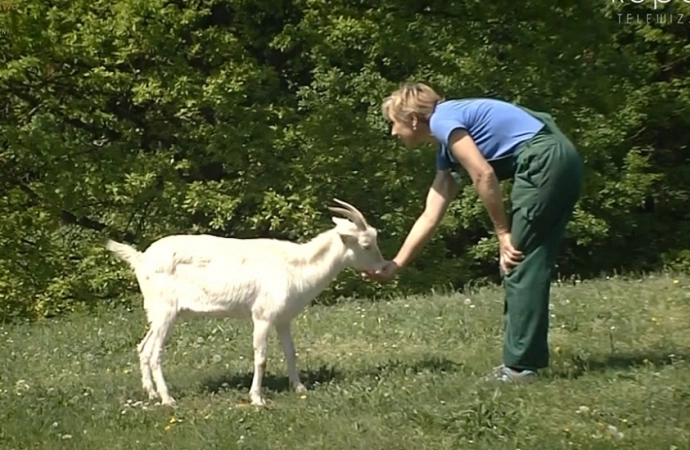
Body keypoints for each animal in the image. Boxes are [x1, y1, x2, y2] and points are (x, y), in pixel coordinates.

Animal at [105, 199, 384, 406]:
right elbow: (261, 357)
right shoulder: (262, 315)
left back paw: (151, 393)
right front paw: (257, 399)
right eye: (366, 244)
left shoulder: (283, 319)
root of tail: (140, 259)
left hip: (156, 313)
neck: (296, 266)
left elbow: (291, 352)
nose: (382, 267)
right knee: (155, 353)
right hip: (165, 312)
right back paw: (167, 399)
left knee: (143, 347)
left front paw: (300, 388)